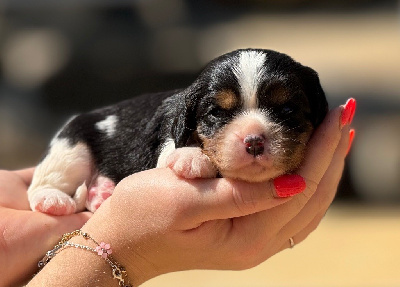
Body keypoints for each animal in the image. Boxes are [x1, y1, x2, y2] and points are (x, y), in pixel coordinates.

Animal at [27, 49, 328, 216]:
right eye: (216, 113)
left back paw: (101, 193)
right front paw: (192, 157)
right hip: (70, 149)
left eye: (287, 109)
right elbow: (175, 149)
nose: (253, 141)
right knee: (40, 185)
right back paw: (54, 200)